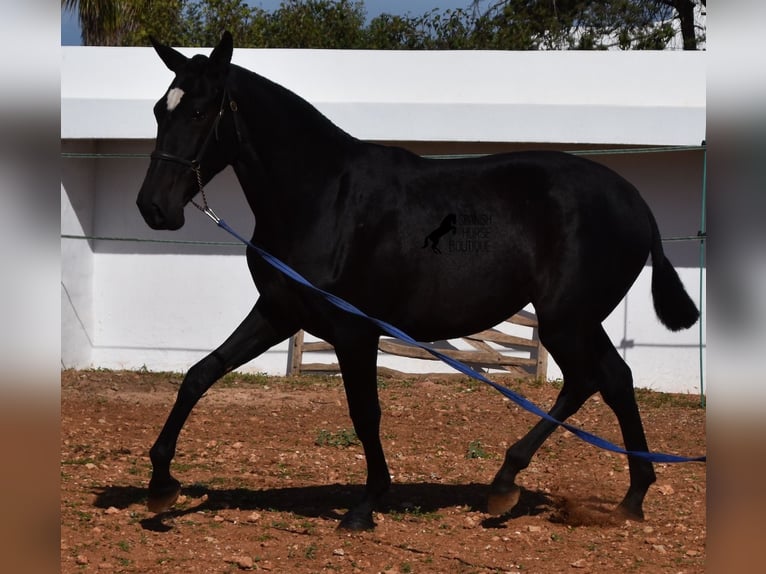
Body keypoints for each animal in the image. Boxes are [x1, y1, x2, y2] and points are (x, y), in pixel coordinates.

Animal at [135, 33, 700, 532]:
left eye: (201, 112)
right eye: (161, 111)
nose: (153, 208)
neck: (325, 198)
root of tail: (635, 203)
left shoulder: (354, 330)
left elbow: (365, 413)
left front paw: (365, 506)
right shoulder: (279, 312)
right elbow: (199, 375)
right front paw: (162, 484)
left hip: (565, 319)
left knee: (586, 381)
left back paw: (506, 482)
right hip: (580, 318)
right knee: (616, 380)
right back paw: (631, 497)